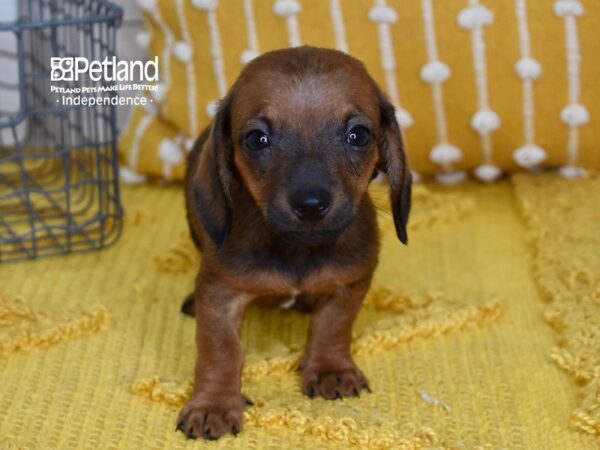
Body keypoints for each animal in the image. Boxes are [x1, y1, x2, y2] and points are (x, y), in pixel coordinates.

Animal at [176, 46, 410, 440]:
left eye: (359, 135)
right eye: (257, 139)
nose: (311, 204)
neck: (296, 249)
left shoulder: (350, 282)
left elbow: (332, 324)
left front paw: (331, 369)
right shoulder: (221, 293)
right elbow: (221, 350)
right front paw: (214, 404)